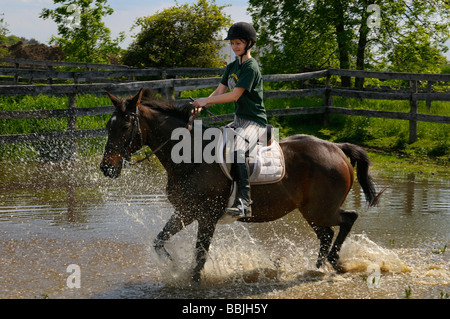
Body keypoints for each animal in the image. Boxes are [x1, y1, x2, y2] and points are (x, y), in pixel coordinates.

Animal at [100, 89, 382, 284]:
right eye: (107, 126)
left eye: (124, 126)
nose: (106, 168)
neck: (190, 157)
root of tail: (337, 147)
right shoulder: (186, 212)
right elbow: (159, 241)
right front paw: (174, 266)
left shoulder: (207, 216)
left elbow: (200, 255)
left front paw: (192, 281)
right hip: (311, 211)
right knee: (326, 235)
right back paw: (321, 266)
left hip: (321, 209)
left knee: (348, 218)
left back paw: (334, 262)